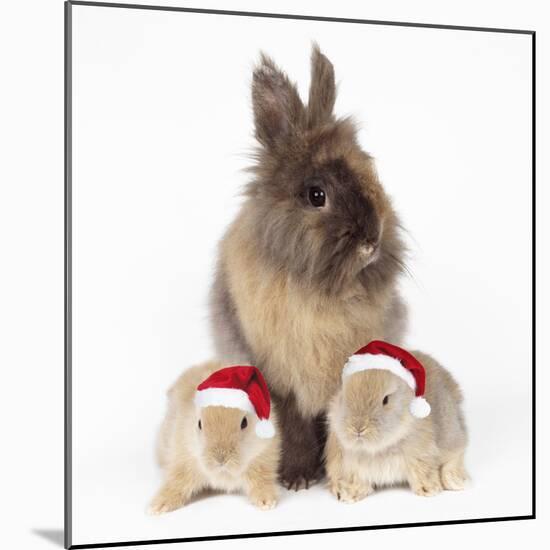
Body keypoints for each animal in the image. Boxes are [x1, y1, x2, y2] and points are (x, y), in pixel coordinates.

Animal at [149, 362, 280, 512]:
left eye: (244, 423)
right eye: (199, 424)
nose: (220, 459)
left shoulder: (263, 460)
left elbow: (262, 482)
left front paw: (266, 502)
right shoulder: (182, 460)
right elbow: (176, 484)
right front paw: (159, 506)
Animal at [211, 44, 410, 492]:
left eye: (370, 172)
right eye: (316, 195)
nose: (372, 240)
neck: (320, 291)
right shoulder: (278, 377)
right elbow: (292, 425)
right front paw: (298, 478)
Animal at [326, 344, 468, 504]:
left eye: (386, 399)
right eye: (343, 397)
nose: (358, 428)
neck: (379, 448)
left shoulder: (421, 455)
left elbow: (423, 471)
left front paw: (429, 489)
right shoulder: (349, 465)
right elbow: (356, 479)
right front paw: (349, 494)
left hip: (450, 431)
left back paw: (455, 481)